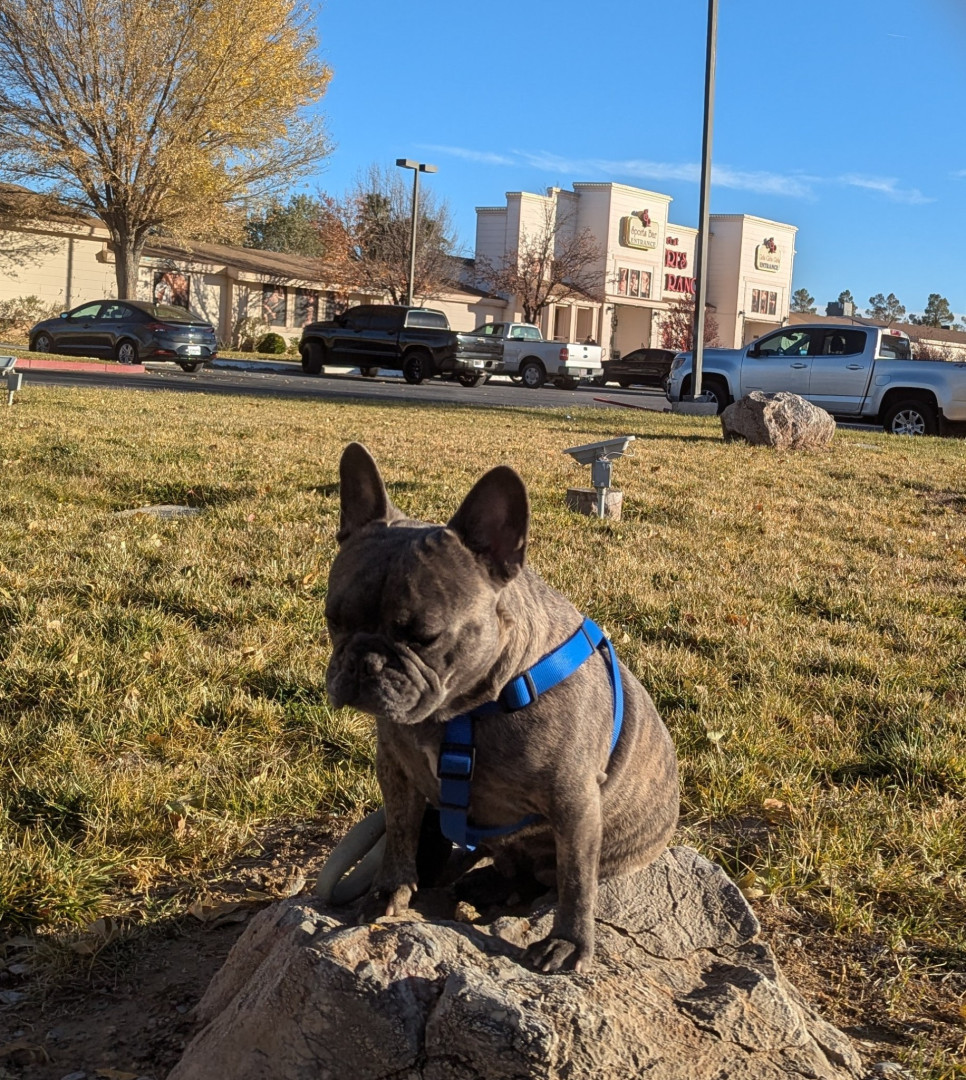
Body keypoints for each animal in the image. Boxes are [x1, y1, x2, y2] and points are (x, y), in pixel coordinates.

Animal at [325, 443, 679, 973]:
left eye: (424, 636)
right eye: (334, 619)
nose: (363, 662)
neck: (460, 715)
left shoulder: (574, 803)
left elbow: (577, 880)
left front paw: (570, 941)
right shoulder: (397, 771)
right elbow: (401, 834)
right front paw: (390, 891)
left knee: (549, 878)